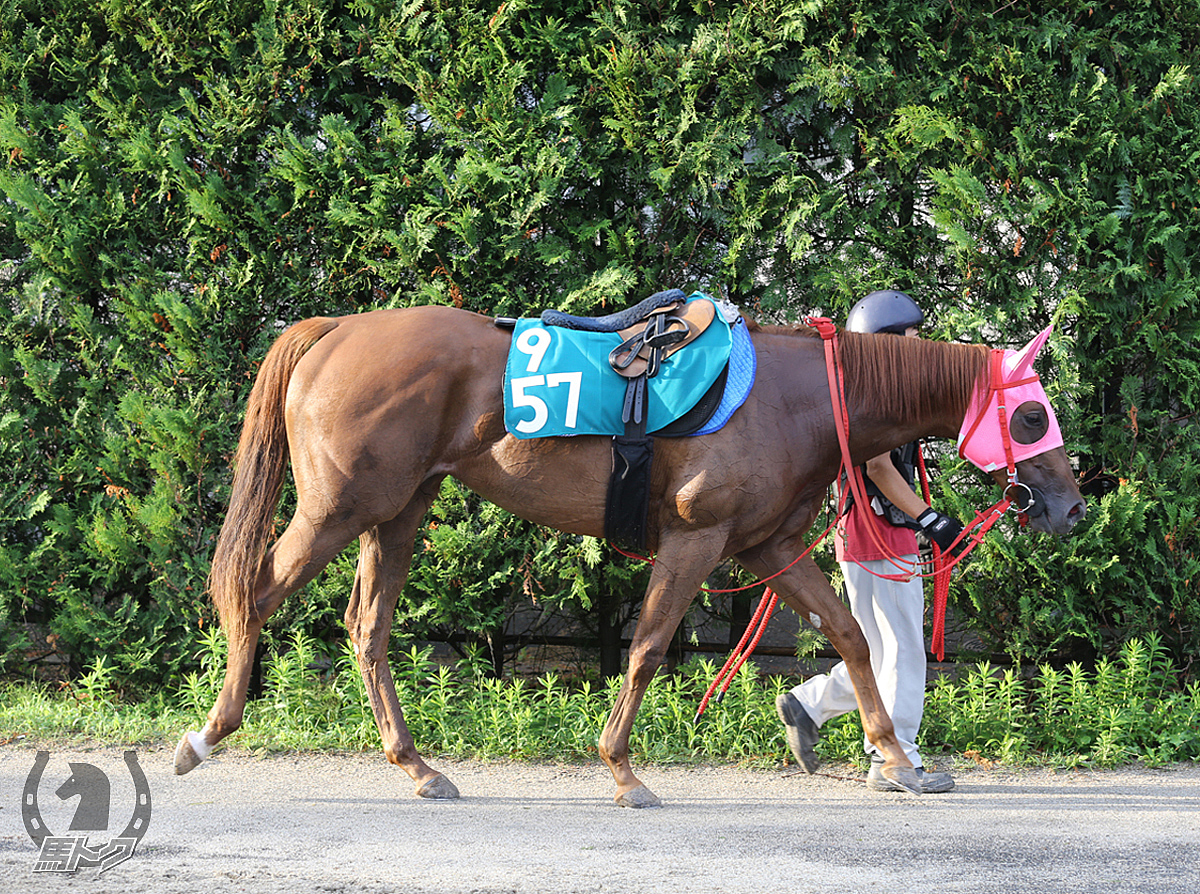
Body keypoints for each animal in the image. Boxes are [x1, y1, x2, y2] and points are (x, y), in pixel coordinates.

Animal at [171, 303, 1089, 806]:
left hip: (397, 512)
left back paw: (417, 765)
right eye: (1032, 415)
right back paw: (207, 735)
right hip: (341, 507)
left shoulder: (769, 543)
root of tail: (335, 332)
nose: (1072, 507)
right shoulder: (697, 537)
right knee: (256, 595)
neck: (794, 394)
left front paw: (895, 757)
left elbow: (852, 637)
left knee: (367, 626)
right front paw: (622, 769)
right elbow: (647, 647)